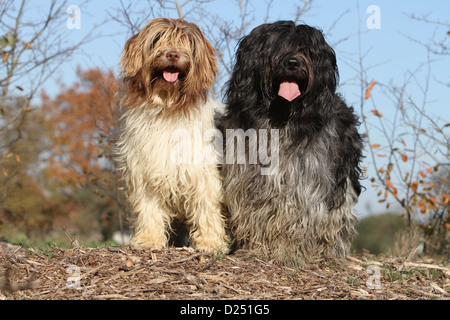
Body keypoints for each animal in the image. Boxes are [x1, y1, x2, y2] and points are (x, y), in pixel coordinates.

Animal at [220, 21, 364, 264]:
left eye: (305, 49)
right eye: (277, 46)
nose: (293, 63)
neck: (281, 116)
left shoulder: (304, 178)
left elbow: (295, 213)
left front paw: (286, 250)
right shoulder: (248, 176)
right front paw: (257, 247)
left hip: (342, 178)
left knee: (338, 213)